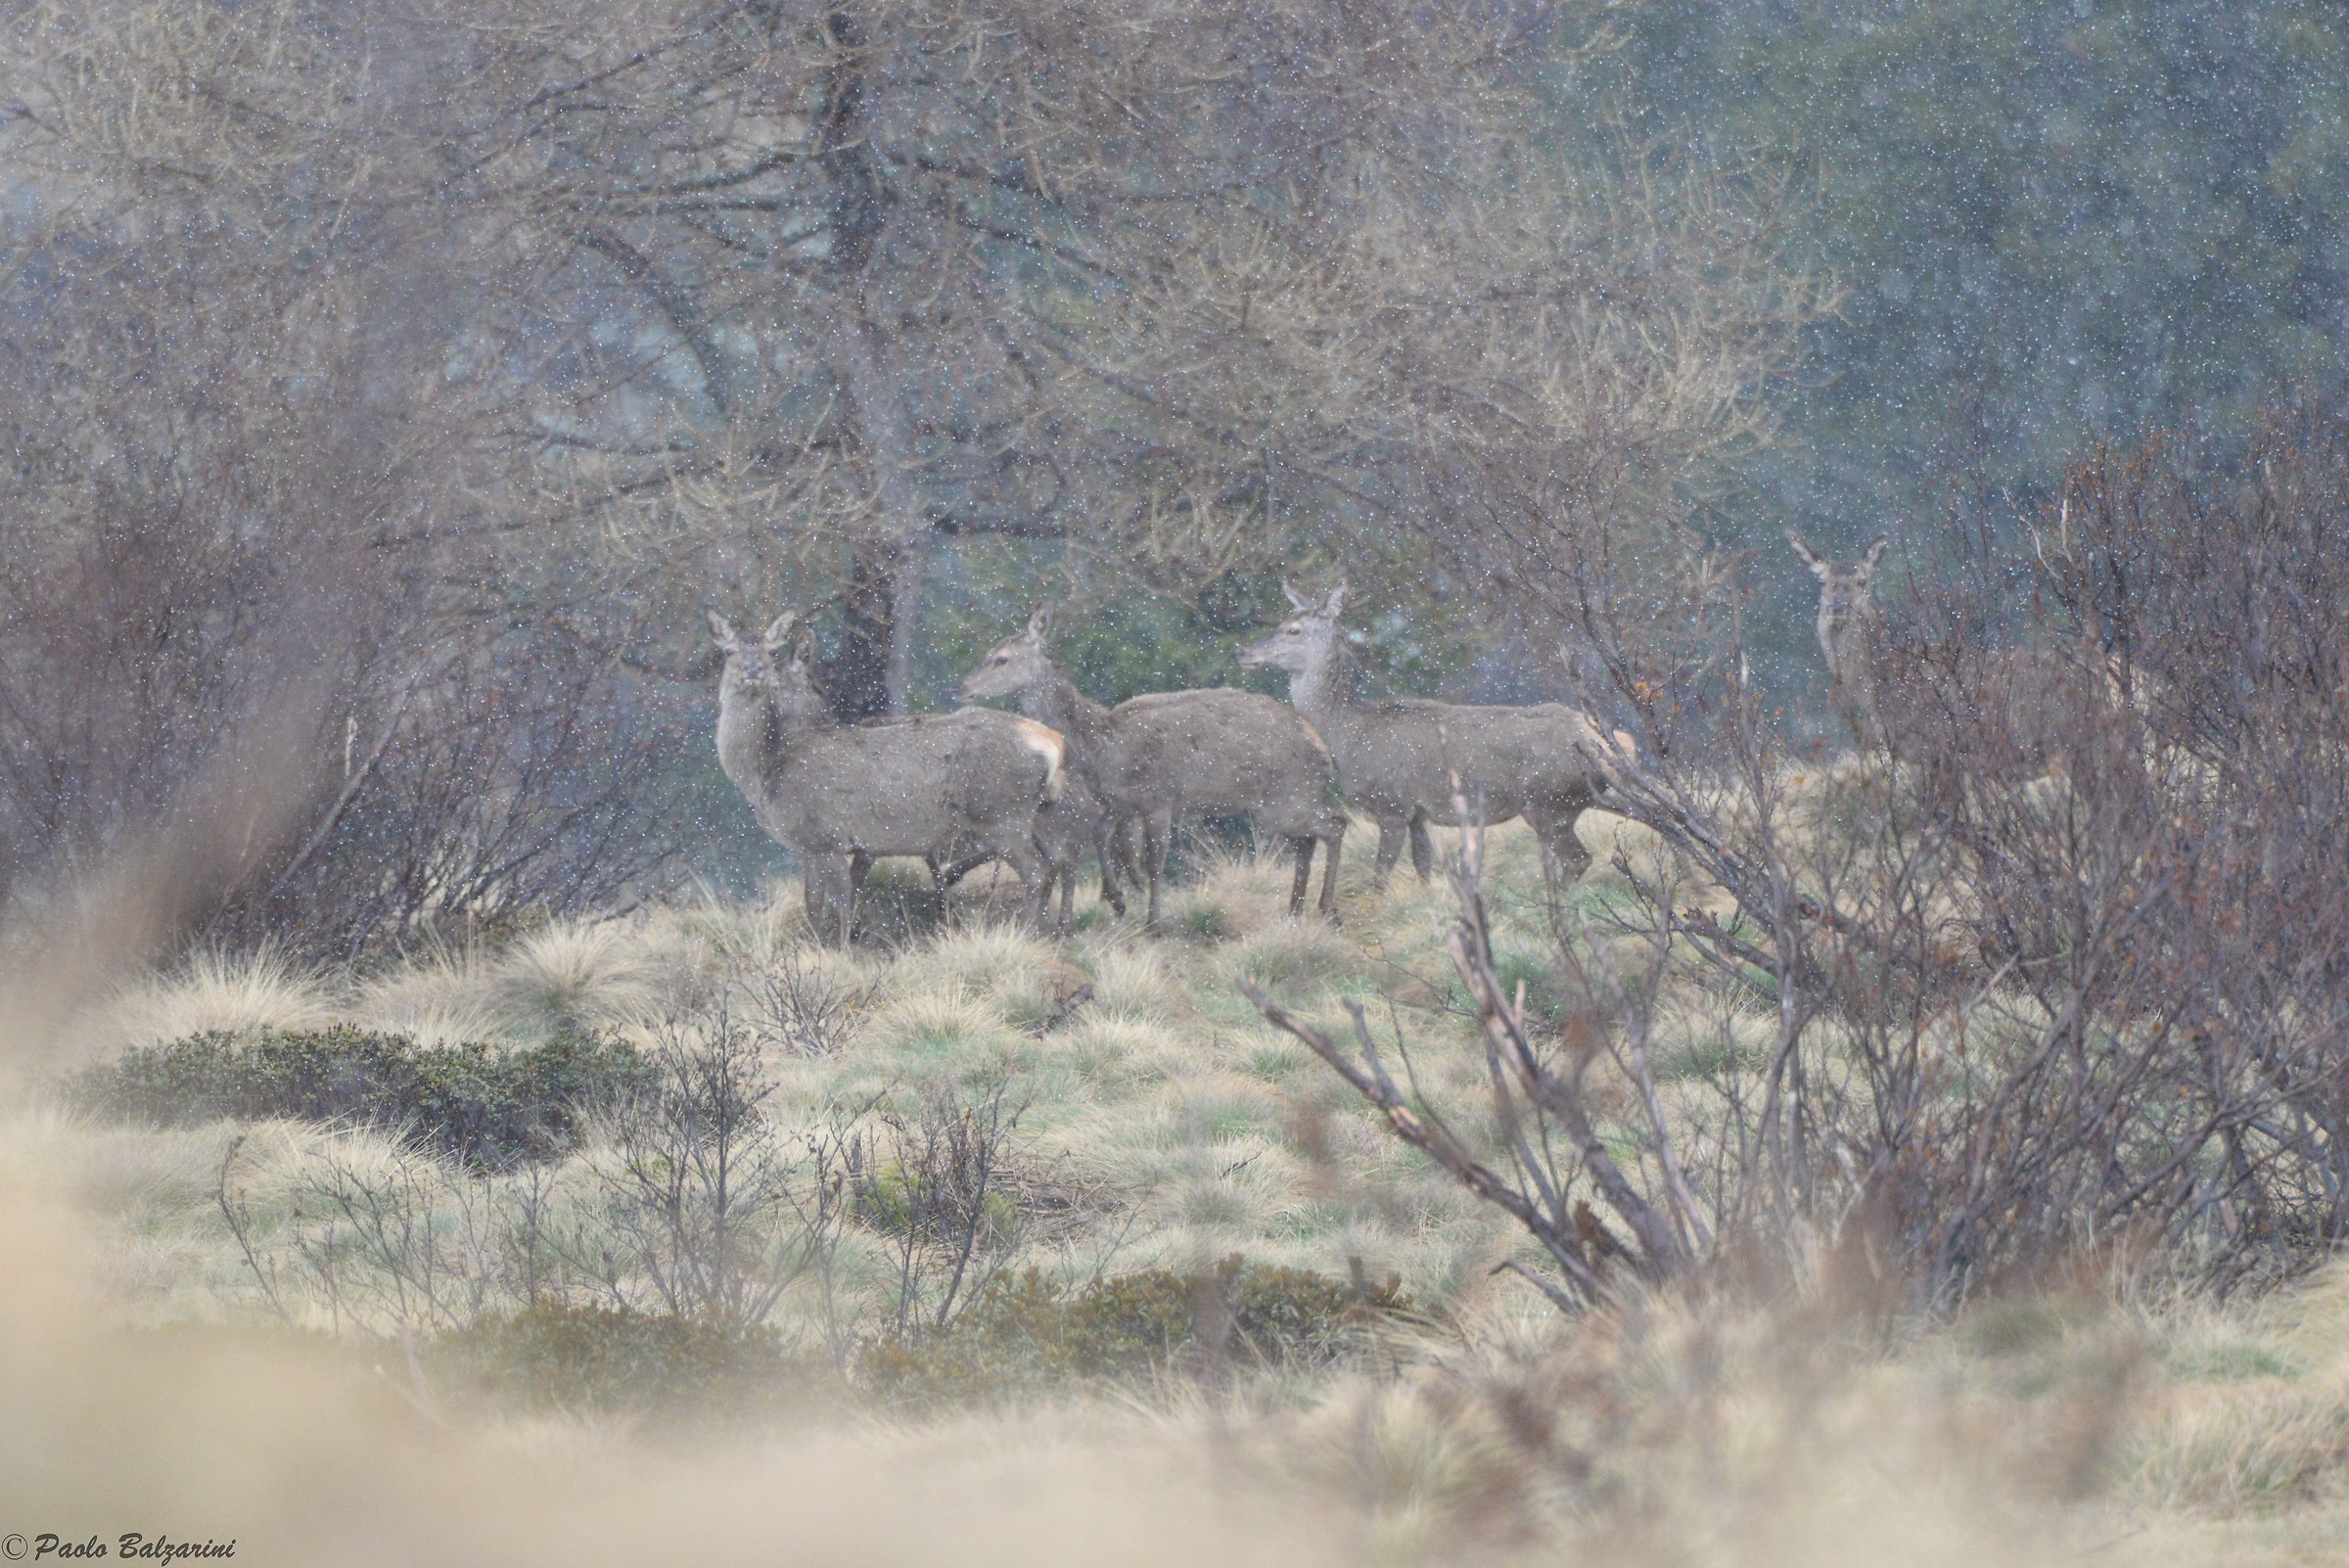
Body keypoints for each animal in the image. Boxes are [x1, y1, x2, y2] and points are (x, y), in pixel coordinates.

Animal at [709, 609, 1067, 943]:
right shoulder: (813, 845)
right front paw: (813, 946)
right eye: (727, 650)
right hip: (1029, 816)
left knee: (1037, 872)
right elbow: (813, 905)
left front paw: (838, 952)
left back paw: (1027, 933)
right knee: (1053, 863)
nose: (752, 669)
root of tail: (1053, 742)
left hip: (1003, 814)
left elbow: (841, 906)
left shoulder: (831, 836)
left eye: (772, 652)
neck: (767, 774)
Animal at [957, 604, 1347, 927]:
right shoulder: (1123, 801)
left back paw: (1327, 907)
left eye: (1001, 659)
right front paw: (1118, 897)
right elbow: (1102, 834)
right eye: (989, 654)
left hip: (1287, 798)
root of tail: (1322, 748)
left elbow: (1155, 859)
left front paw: (1153, 921)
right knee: (1308, 841)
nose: (962, 687)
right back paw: (1294, 909)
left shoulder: (1160, 798)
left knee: (1335, 824)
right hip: (1280, 805)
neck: (1104, 747)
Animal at [1237, 583, 1616, 910]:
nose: (1244, 652)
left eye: (1293, 630)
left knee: (1578, 858)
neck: (1348, 733)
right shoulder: (1420, 813)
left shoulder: (1392, 804)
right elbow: (1423, 869)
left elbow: (1381, 872)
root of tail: (1601, 748)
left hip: (1549, 802)